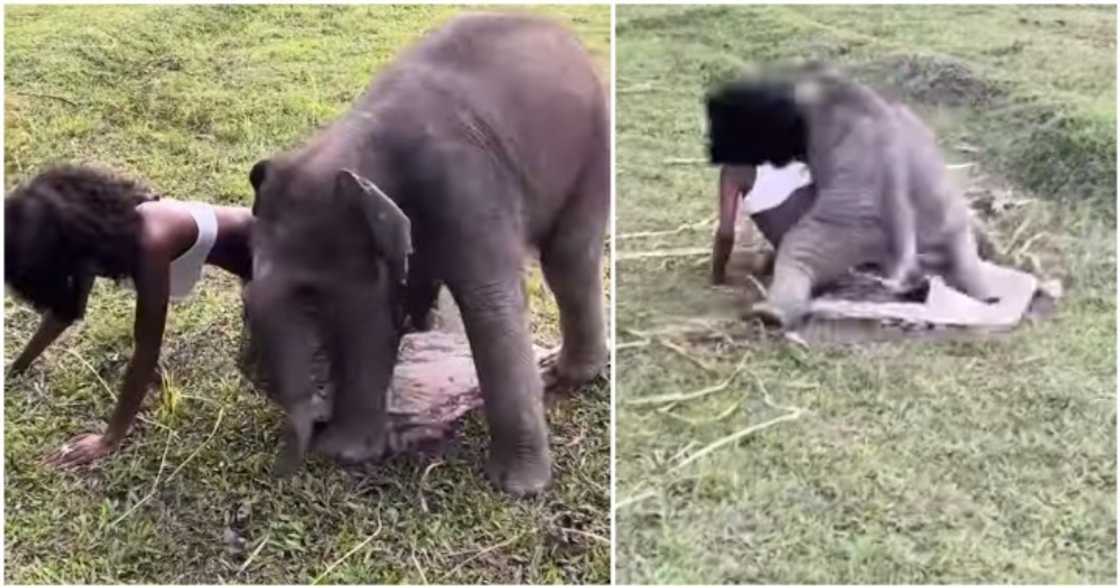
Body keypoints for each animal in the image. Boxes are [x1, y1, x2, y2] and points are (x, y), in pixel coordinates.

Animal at [244, 12, 609, 495]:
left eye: (311, 297)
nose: (280, 469)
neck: (357, 137)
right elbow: (375, 318)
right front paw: (347, 454)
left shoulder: (467, 190)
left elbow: (491, 307)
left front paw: (516, 489)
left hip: (592, 149)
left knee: (568, 259)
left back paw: (562, 375)